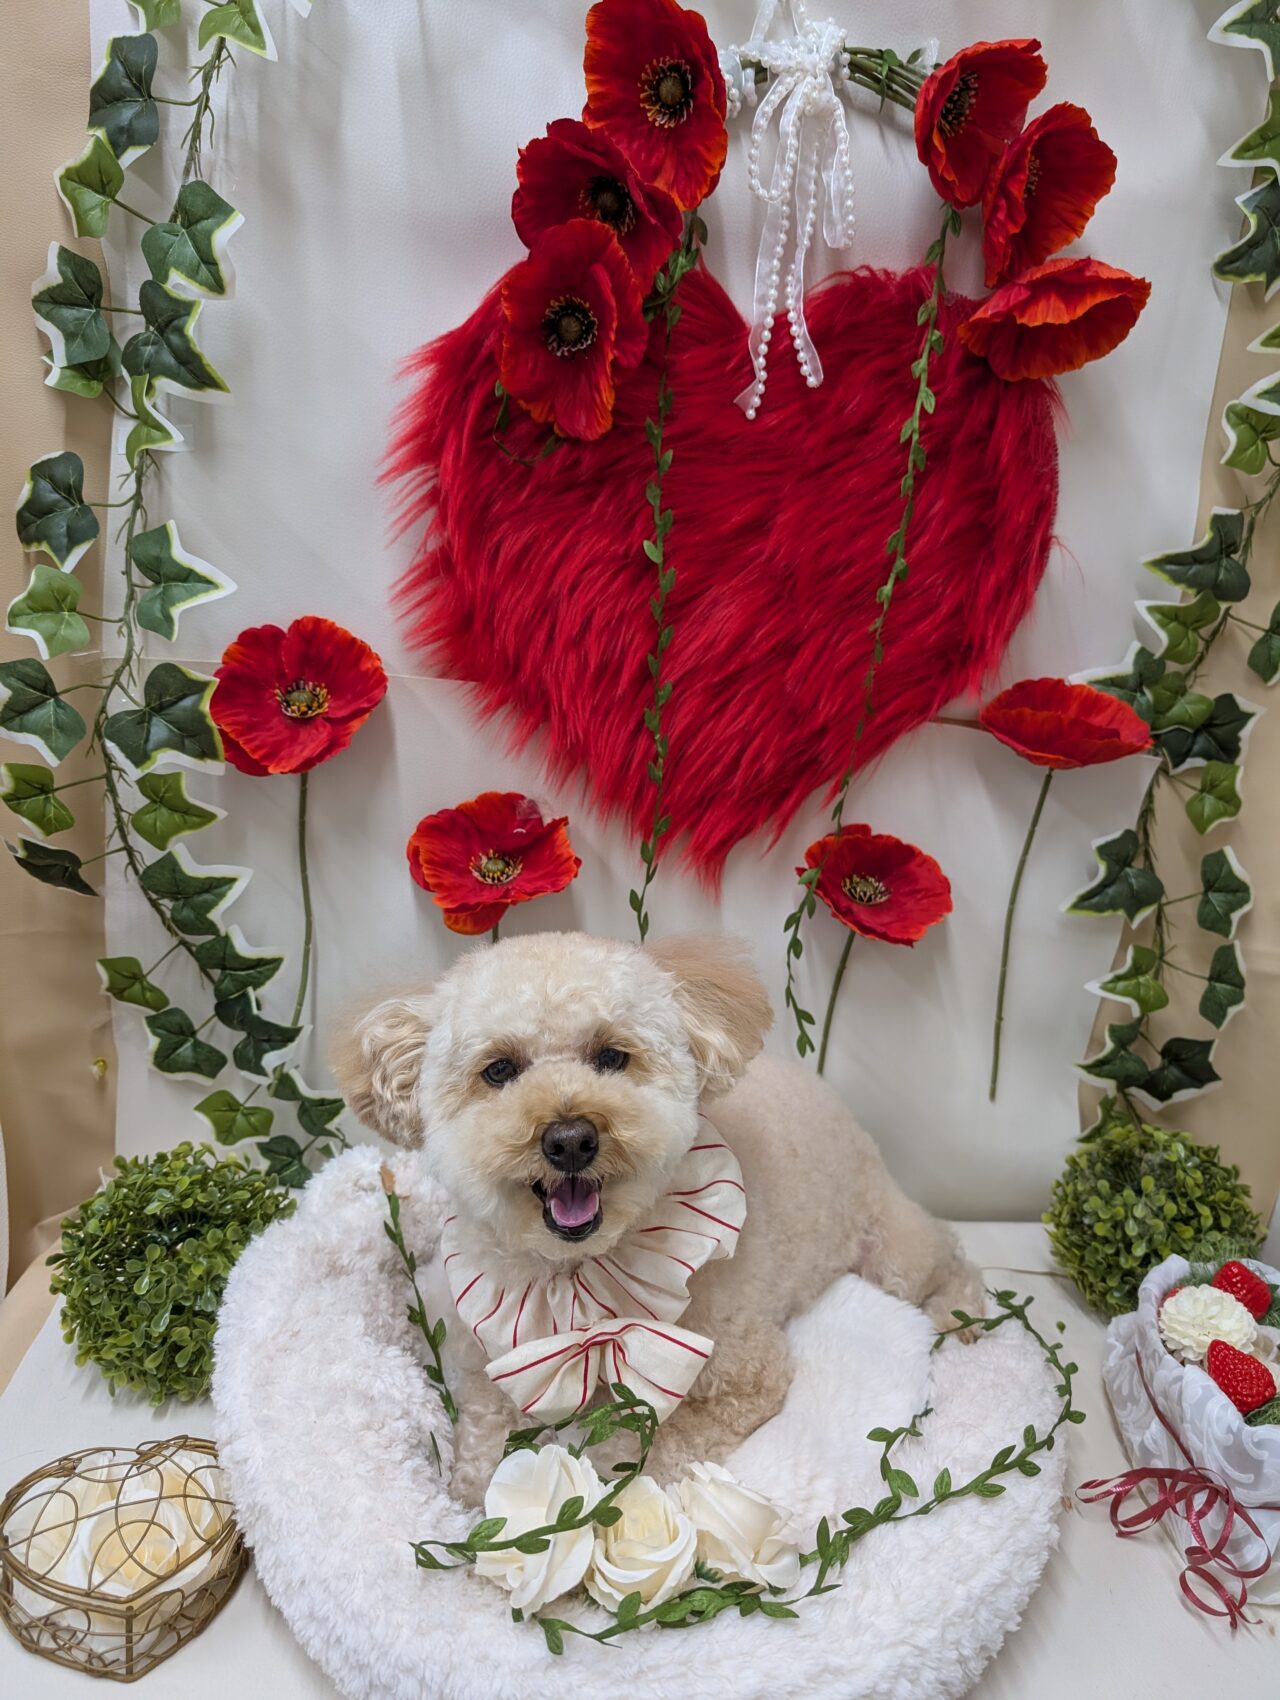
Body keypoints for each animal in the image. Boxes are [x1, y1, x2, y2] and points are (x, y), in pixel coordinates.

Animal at [332, 931, 983, 1504]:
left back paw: (962, 1316)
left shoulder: (744, 1375)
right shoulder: (493, 1359)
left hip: (890, 1247)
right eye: (499, 1070)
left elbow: (655, 1447)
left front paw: (602, 1481)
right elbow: (484, 1436)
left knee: (948, 1256)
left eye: (611, 1056)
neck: (581, 1276)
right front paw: (475, 1507)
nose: (570, 1139)